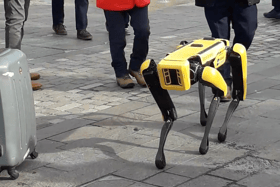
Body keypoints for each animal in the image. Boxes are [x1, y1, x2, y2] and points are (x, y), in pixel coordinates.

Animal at [141, 37, 246, 169]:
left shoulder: (205, 71)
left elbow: (218, 95)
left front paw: (205, 144)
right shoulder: (152, 74)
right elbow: (170, 115)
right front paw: (160, 157)